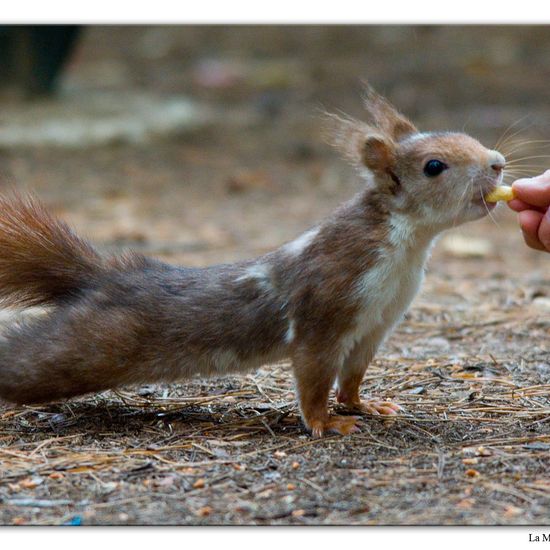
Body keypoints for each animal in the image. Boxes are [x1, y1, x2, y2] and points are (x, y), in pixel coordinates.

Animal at [0, 87, 506, 440]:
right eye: (434, 166)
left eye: (468, 137)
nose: (498, 162)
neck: (408, 249)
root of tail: (101, 279)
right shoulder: (326, 308)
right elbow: (314, 377)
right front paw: (326, 423)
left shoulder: (376, 324)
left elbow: (353, 375)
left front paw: (364, 406)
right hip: (86, 347)